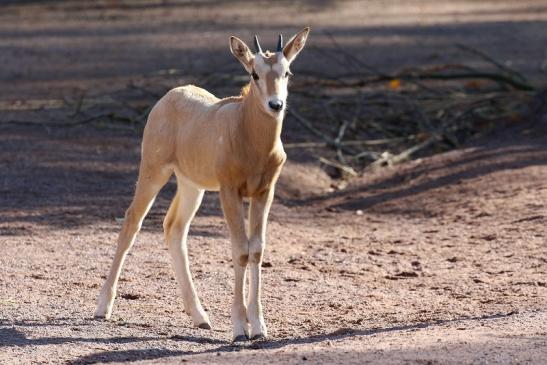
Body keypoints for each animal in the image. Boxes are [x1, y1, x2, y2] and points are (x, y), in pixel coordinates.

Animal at [93, 28, 308, 342]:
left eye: (287, 72)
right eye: (254, 73)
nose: (276, 105)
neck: (246, 131)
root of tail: (170, 97)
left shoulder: (264, 192)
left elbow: (256, 250)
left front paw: (258, 327)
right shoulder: (229, 191)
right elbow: (240, 250)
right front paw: (239, 329)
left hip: (191, 186)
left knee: (174, 228)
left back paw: (200, 316)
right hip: (153, 170)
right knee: (132, 221)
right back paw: (102, 307)